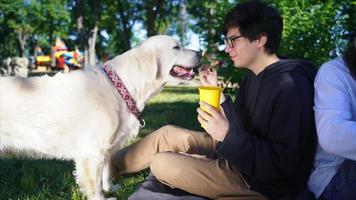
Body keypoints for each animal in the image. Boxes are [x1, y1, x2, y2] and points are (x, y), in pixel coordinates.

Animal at [0, 35, 200, 200]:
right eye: (176, 47)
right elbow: (95, 186)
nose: (201, 51)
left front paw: (110, 188)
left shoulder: (106, 148)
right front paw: (102, 196)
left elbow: (107, 171)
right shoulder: (91, 153)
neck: (121, 88)